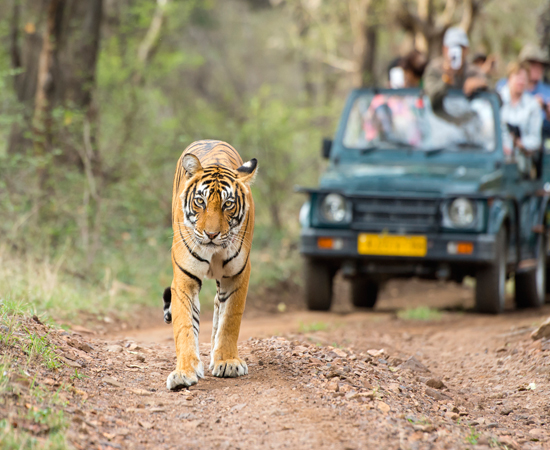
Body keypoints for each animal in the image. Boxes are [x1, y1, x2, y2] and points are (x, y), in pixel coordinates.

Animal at [163, 140, 258, 390]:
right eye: (200, 201)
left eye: (228, 204)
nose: (212, 234)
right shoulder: (184, 279)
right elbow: (185, 326)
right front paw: (184, 372)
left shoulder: (237, 275)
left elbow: (230, 320)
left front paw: (227, 362)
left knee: (218, 306)